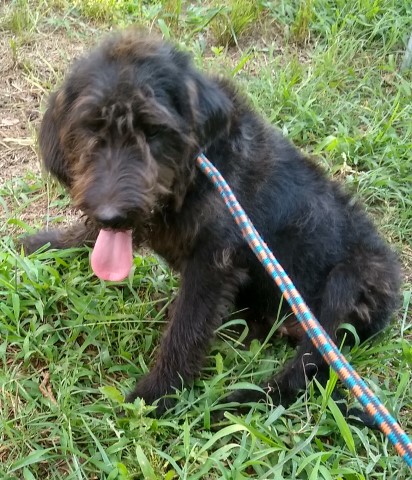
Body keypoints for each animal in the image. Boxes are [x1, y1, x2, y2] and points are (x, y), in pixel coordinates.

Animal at [22, 28, 400, 414]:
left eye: (154, 131)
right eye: (90, 127)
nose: (112, 214)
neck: (195, 174)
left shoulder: (213, 262)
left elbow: (186, 330)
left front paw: (157, 393)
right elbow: (89, 235)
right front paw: (42, 244)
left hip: (349, 281)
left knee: (308, 367)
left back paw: (242, 399)